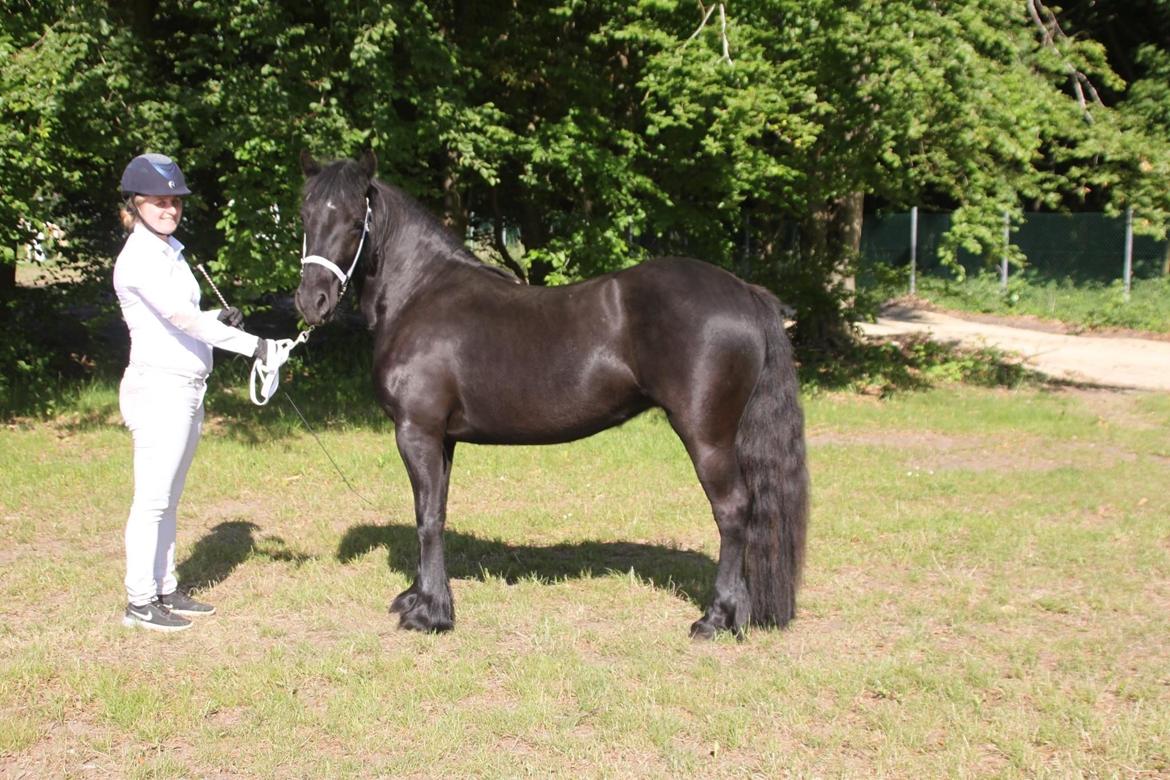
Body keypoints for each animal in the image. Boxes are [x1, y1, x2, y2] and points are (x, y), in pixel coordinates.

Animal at [294, 150, 809, 639]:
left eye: (354, 221)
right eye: (305, 215)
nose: (311, 302)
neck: (420, 293)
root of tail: (743, 291)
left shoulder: (416, 432)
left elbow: (427, 520)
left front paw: (430, 615)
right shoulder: (441, 439)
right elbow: (434, 511)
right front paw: (419, 598)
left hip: (706, 436)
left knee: (733, 511)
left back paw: (715, 619)